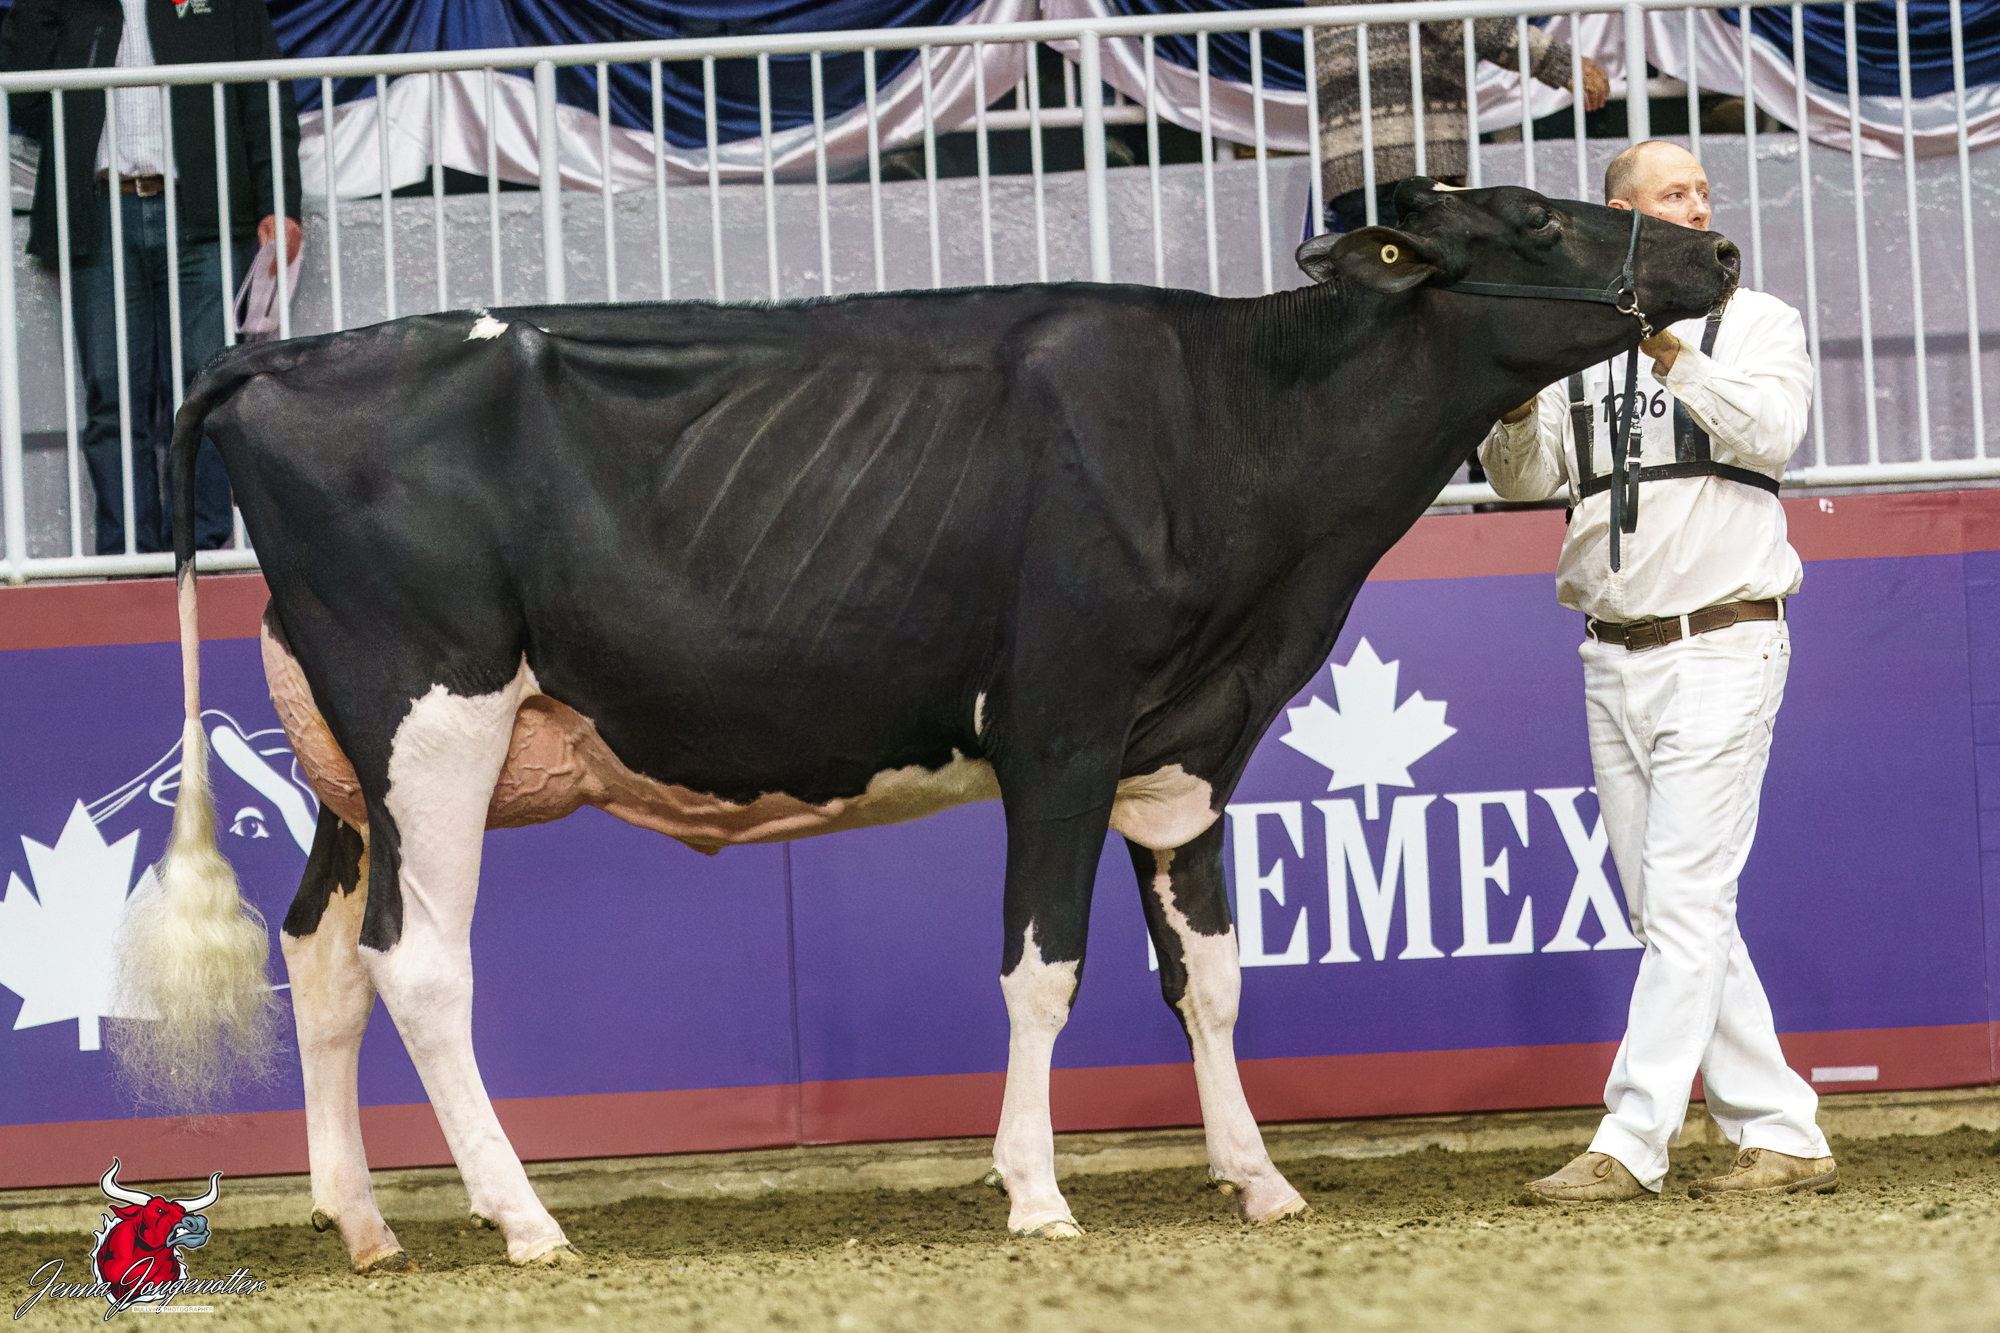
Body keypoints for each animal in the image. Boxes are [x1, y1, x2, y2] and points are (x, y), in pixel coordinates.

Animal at [117, 178, 1738, 1272]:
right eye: (1531, 222)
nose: (1716, 249)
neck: (1234, 435)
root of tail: (282, 357)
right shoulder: (1063, 731)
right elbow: (1044, 972)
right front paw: (1037, 1193)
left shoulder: (1186, 750)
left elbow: (1209, 979)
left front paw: (1260, 1180)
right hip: (432, 715)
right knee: (419, 962)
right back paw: (522, 1218)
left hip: (346, 760)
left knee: (320, 954)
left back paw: (364, 1221)